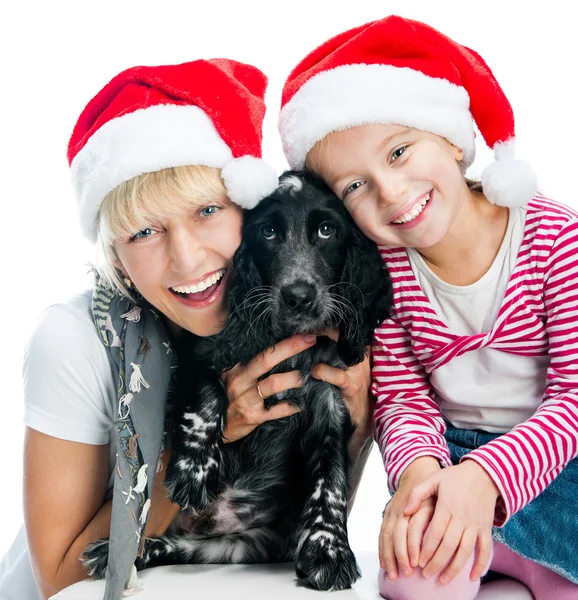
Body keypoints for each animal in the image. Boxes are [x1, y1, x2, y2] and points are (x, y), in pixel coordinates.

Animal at [82, 170, 392, 592]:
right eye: (268, 232)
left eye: (327, 230)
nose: (298, 296)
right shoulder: (201, 357)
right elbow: (209, 391)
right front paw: (194, 471)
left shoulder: (331, 398)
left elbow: (329, 477)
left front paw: (329, 550)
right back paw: (117, 556)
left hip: (235, 546)